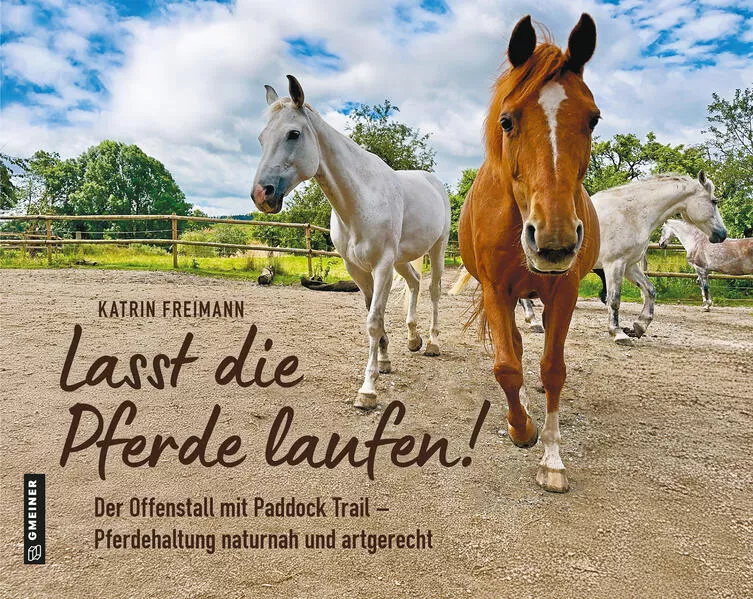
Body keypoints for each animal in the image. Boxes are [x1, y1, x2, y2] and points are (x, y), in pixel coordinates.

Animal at [251, 76, 450, 409]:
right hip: (402, 260)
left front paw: (368, 389)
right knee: (415, 282)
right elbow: (374, 315)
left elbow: (374, 320)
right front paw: (384, 362)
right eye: (261, 138)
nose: (261, 194)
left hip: (437, 248)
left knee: (434, 290)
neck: (361, 198)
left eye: (293, 134)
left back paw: (433, 343)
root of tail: (434, 182)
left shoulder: (382, 266)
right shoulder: (357, 269)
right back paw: (413, 339)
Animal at [455, 172, 728, 345]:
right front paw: (618, 333)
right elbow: (615, 300)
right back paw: (533, 321)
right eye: (714, 201)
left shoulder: (629, 266)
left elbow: (650, 291)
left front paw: (638, 327)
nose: (722, 235)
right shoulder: (614, 265)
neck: (632, 213)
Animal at [458, 14, 600, 493]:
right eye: (507, 121)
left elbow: (553, 369)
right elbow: (506, 367)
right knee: (516, 350)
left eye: (593, 120)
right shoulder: (496, 290)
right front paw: (521, 428)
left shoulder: (565, 292)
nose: (554, 241)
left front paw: (553, 461)